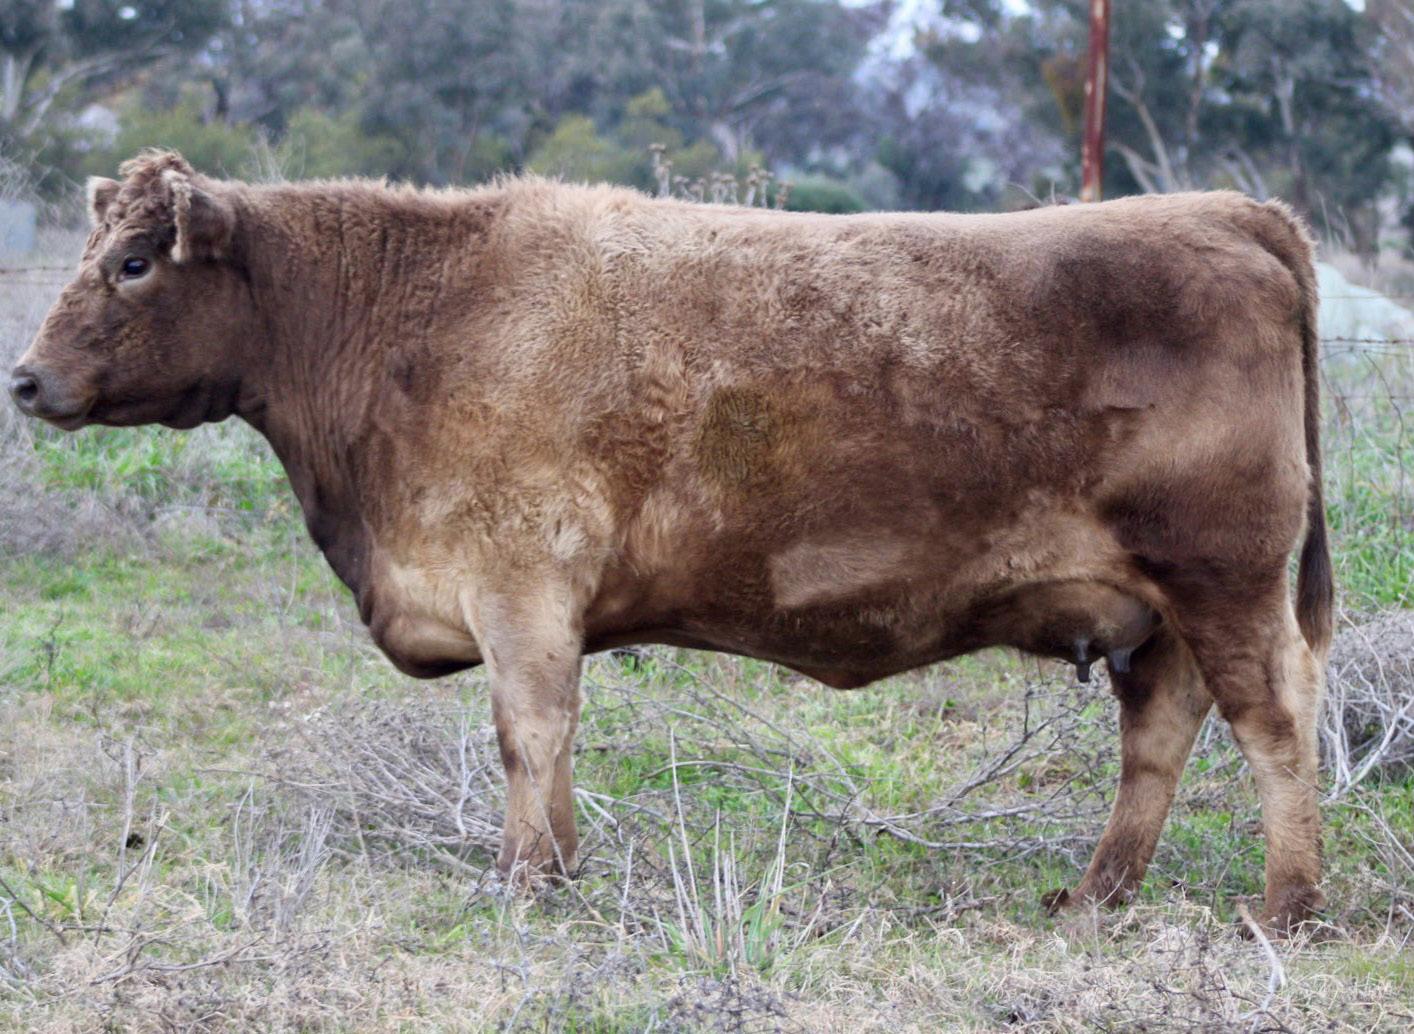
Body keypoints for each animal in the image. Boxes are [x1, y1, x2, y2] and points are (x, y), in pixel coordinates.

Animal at [9, 151, 1333, 933]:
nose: (25, 378)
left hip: (1225, 578)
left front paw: (524, 878)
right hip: (1159, 611)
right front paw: (559, 866)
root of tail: (1231, 209)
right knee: (1157, 737)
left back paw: (1284, 904)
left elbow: (527, 730)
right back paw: (1092, 897)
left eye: (134, 261)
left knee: (1274, 721)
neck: (409, 318)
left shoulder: (520, 583)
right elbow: (544, 739)